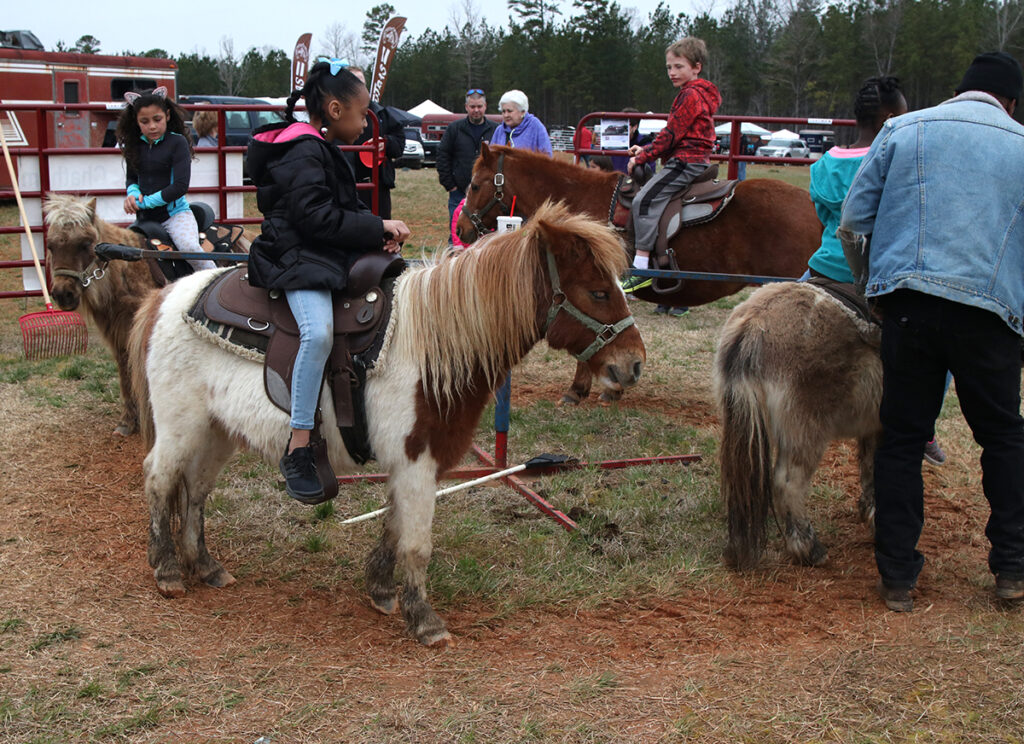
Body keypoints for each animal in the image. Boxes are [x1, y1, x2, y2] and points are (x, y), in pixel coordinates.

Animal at [41, 192, 251, 435]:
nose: (62, 293)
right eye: (50, 245)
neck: (125, 271)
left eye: (85, 244)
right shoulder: (119, 335)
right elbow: (125, 372)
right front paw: (127, 421)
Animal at [712, 280, 880, 569]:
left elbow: (869, 467)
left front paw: (869, 510)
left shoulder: (872, 427)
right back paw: (808, 548)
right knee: (788, 482)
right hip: (805, 429)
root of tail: (756, 322)